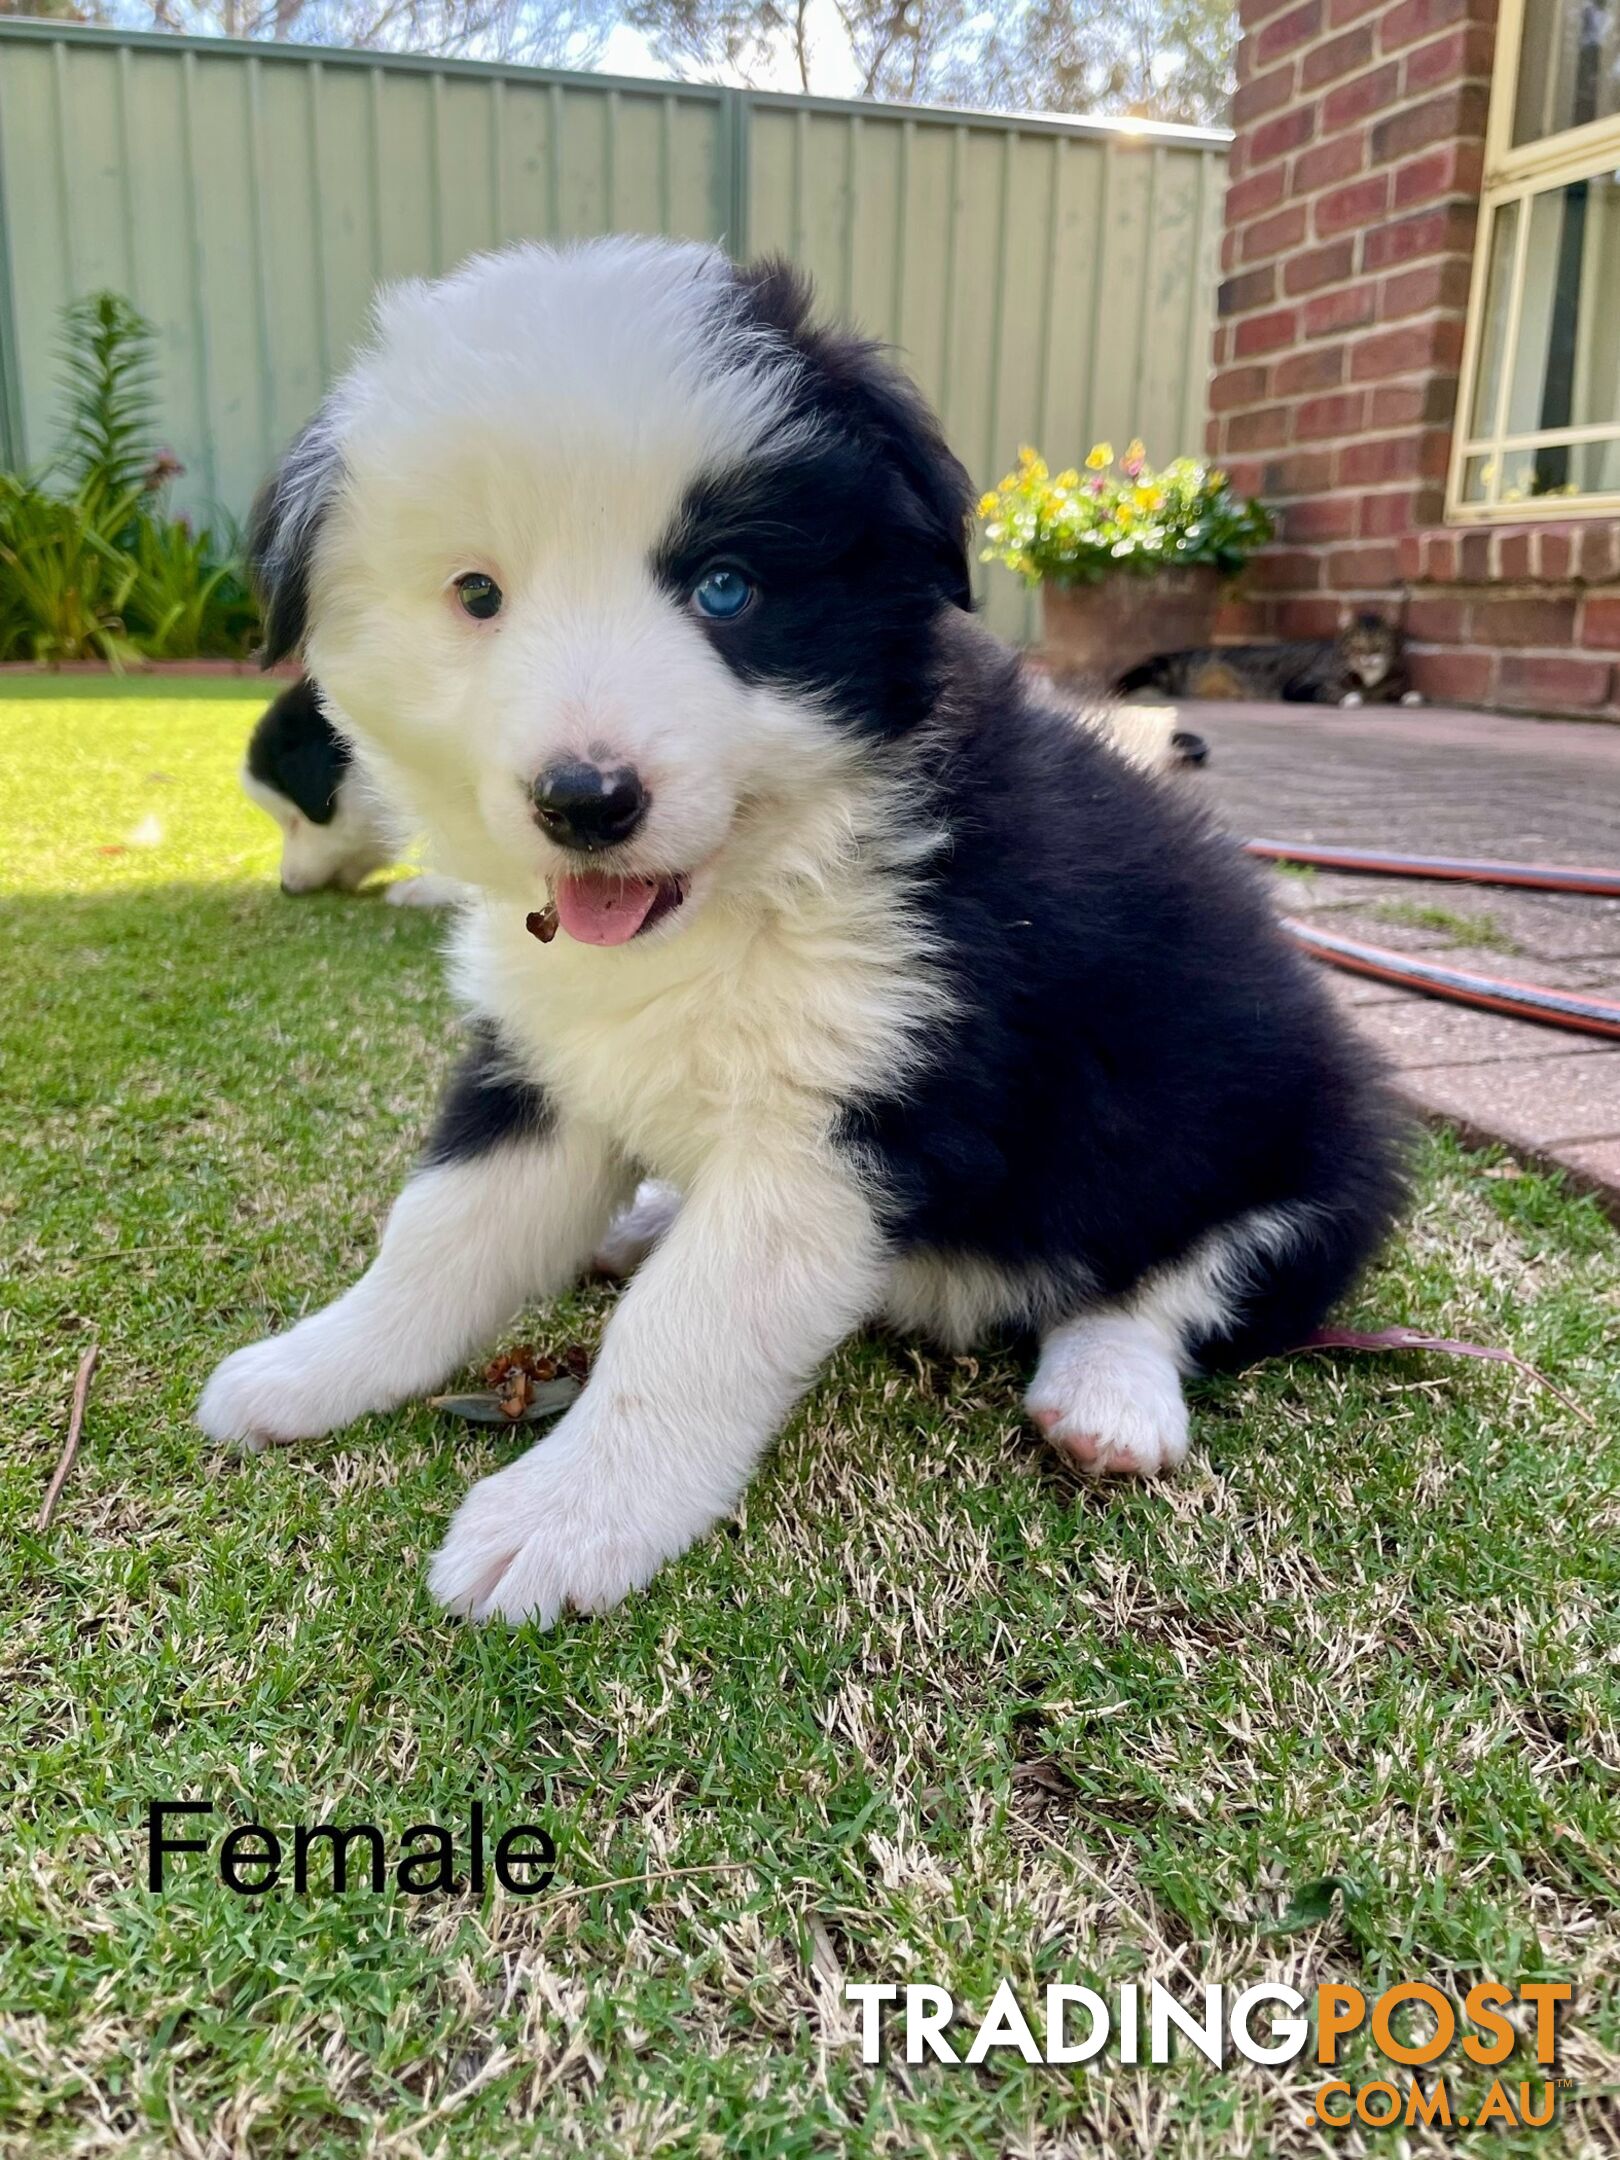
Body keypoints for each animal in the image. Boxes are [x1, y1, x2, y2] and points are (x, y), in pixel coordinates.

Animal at [1114, 613, 1416, 712]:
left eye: (1381, 645)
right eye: (1357, 646)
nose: (1369, 657)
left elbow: (1394, 689)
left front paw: (1408, 695)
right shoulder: (1299, 685)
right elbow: (1328, 690)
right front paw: (1348, 697)